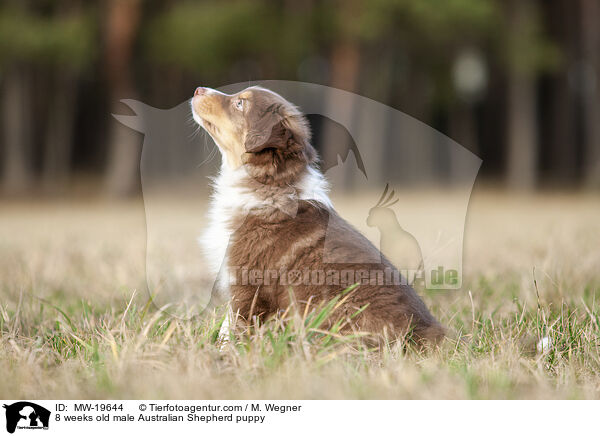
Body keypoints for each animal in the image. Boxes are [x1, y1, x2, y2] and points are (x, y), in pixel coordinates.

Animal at [192, 85, 446, 344]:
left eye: (240, 104)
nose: (198, 89)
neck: (271, 183)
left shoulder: (248, 284)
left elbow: (235, 326)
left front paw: (228, 350)